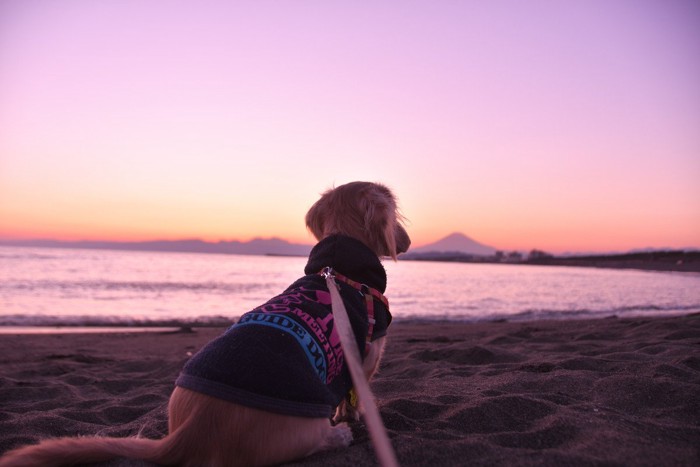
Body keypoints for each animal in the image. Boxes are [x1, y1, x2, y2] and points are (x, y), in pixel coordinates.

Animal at [1, 183, 410, 467]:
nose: (406, 242)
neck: (337, 269)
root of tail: (188, 434)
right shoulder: (365, 356)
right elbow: (353, 397)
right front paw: (354, 416)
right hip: (303, 423)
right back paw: (337, 436)